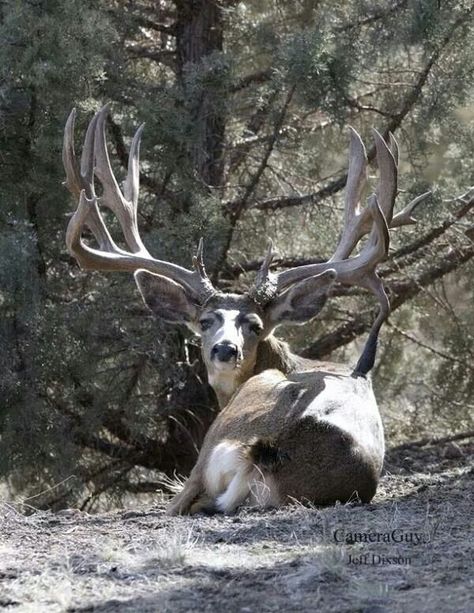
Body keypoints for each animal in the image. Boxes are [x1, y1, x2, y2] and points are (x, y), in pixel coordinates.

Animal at [62, 107, 426, 512]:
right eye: (205, 321)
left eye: (254, 325)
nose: (225, 349)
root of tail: (268, 451)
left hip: (217, 439)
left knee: (183, 499)